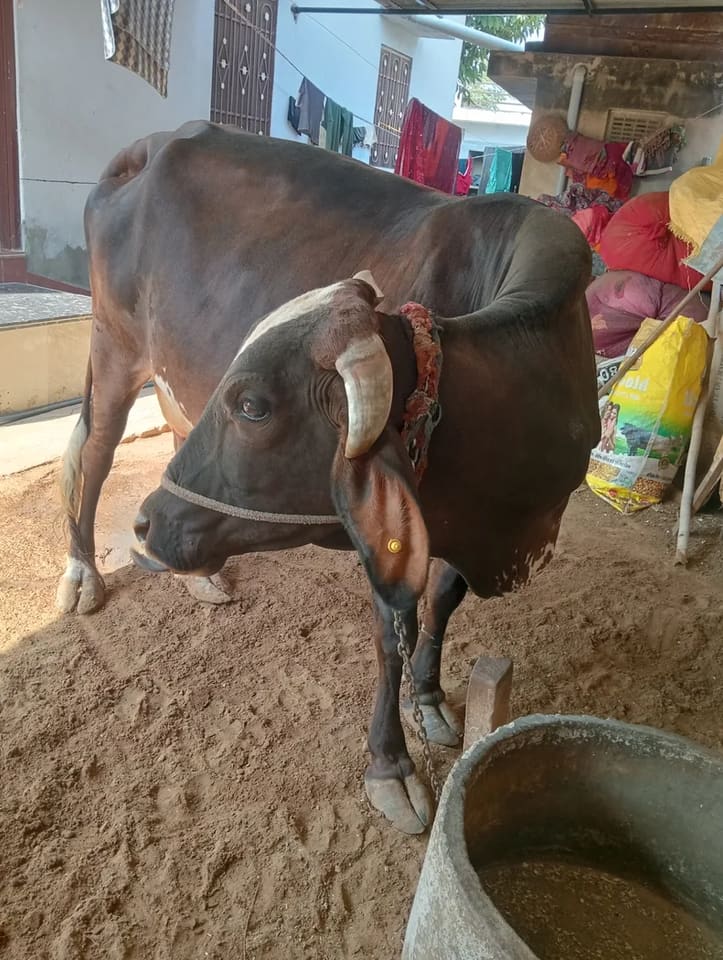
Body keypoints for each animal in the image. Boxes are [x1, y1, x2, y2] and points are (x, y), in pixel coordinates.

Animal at [58, 121, 600, 833]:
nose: (146, 522)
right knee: (92, 451)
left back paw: (193, 572)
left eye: (252, 405)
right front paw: (391, 766)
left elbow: (442, 600)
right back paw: (85, 571)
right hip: (114, 346)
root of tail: (155, 142)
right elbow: (390, 636)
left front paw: (431, 696)